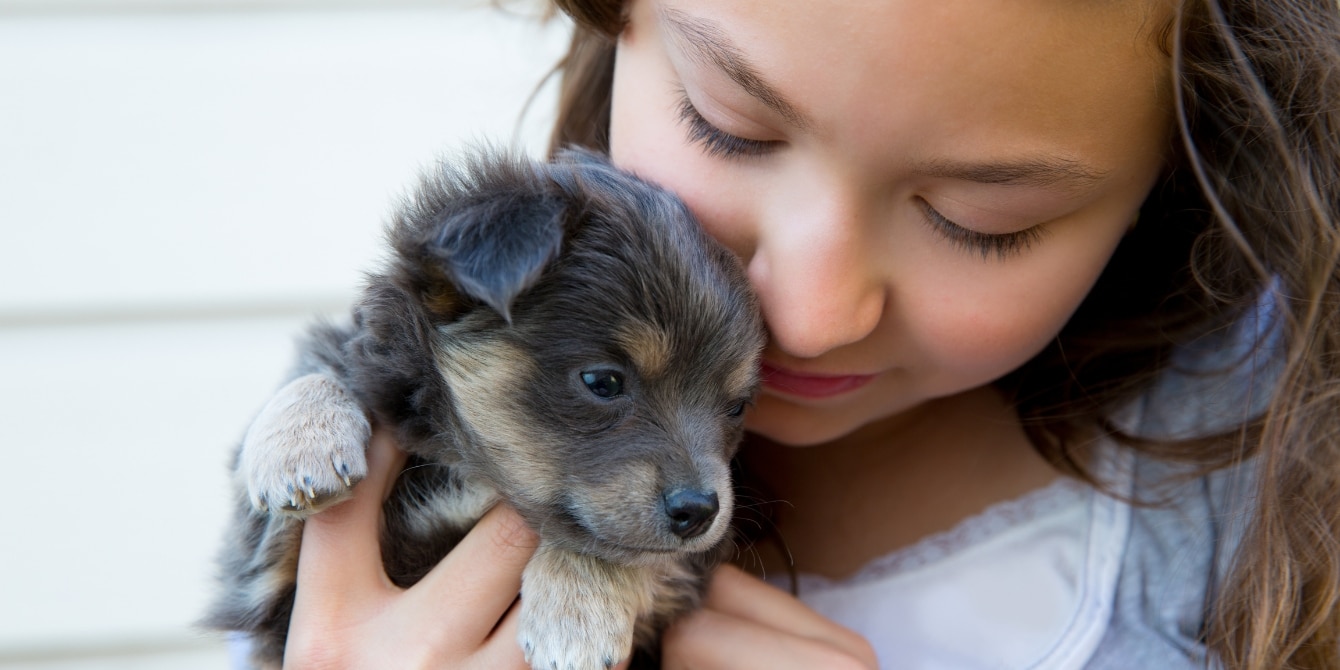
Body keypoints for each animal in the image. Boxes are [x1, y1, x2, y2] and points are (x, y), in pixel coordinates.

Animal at [201, 148, 766, 670]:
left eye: (736, 406)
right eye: (603, 381)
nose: (700, 511)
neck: (471, 472)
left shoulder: (693, 564)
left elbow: (610, 546)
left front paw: (575, 615)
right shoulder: (264, 582)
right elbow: (318, 368)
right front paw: (300, 448)